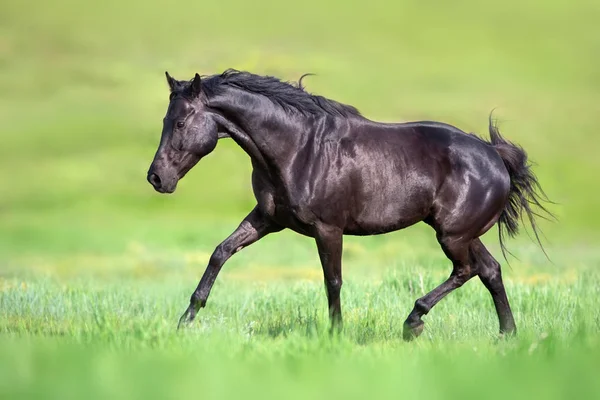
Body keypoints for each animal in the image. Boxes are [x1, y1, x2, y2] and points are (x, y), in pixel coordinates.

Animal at [148, 70, 552, 340]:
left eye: (180, 122)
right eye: (165, 119)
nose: (156, 178)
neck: (298, 149)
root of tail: (495, 155)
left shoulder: (328, 229)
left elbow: (333, 280)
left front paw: (336, 333)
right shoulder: (267, 218)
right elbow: (220, 252)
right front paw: (186, 318)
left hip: (452, 235)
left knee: (467, 270)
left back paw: (413, 321)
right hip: (463, 234)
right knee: (490, 270)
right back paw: (506, 334)